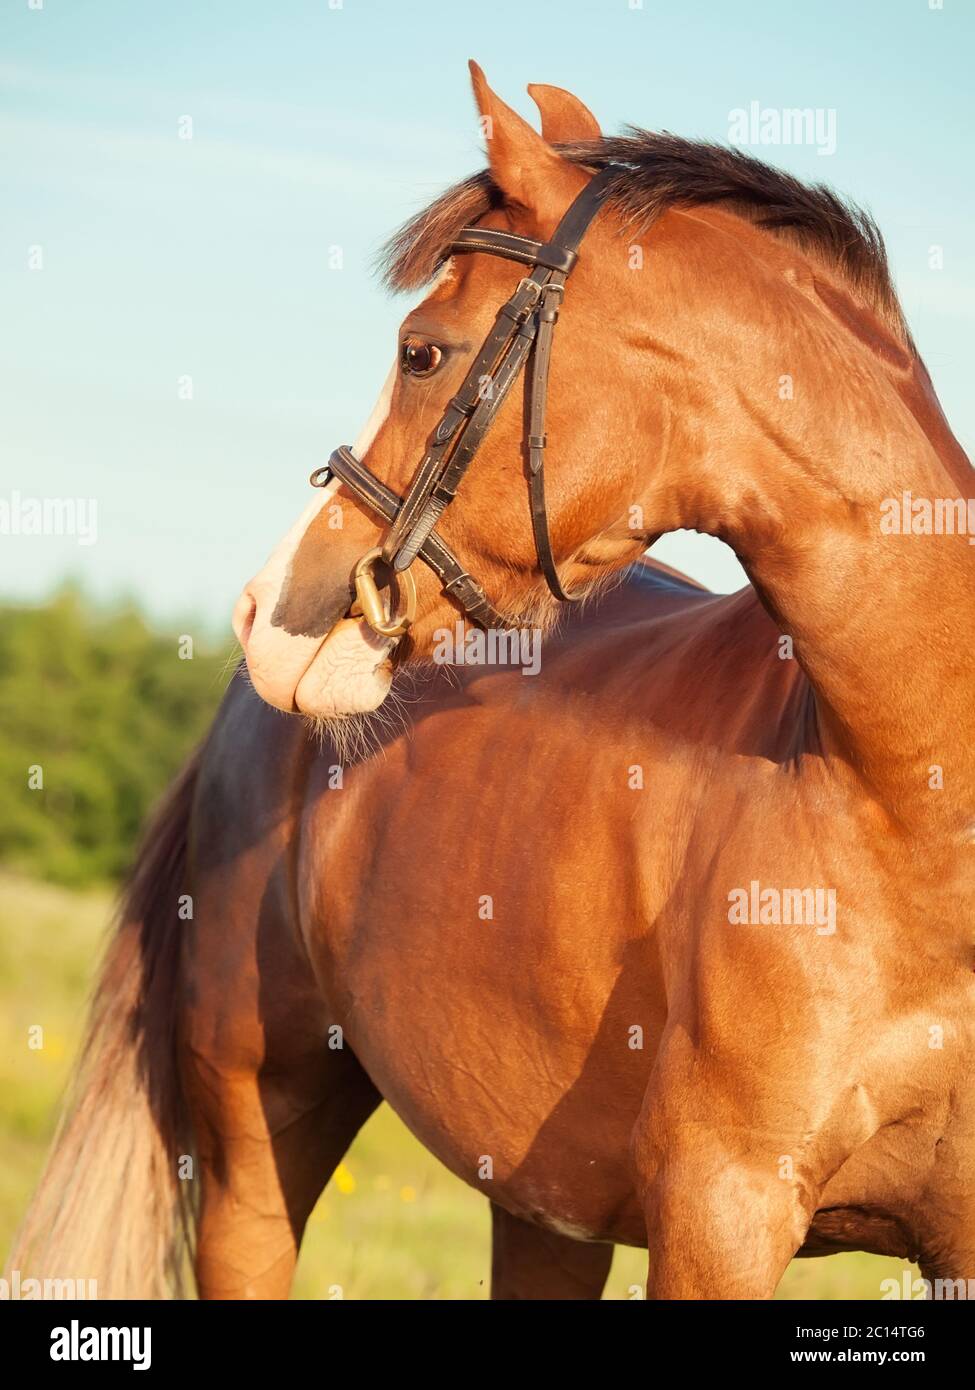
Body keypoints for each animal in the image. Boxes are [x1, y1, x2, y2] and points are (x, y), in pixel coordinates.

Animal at [10, 63, 975, 1300]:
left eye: (422, 349)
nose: (269, 610)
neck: (916, 807)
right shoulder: (721, 1211)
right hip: (254, 1143)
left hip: (543, 1203)